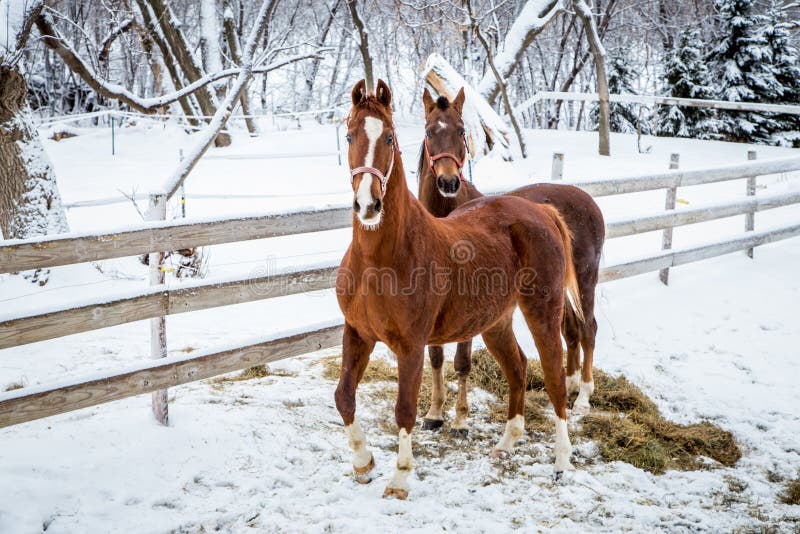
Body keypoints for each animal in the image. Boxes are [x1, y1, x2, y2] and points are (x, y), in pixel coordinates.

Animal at [338, 80, 580, 502]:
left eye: (389, 137)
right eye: (350, 135)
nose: (368, 204)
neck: (381, 258)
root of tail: (542, 212)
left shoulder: (411, 346)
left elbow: (405, 409)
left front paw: (400, 478)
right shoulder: (357, 333)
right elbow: (344, 397)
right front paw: (363, 463)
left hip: (543, 314)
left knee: (554, 378)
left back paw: (562, 462)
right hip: (496, 323)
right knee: (518, 367)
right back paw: (506, 443)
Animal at [416, 88, 604, 436]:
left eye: (461, 131)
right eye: (429, 131)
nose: (448, 182)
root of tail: (585, 199)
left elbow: (462, 361)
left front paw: (460, 419)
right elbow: (435, 356)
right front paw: (434, 413)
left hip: (586, 281)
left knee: (587, 329)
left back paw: (584, 396)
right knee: (570, 331)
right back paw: (570, 385)